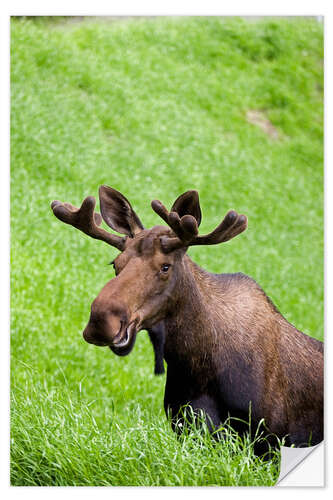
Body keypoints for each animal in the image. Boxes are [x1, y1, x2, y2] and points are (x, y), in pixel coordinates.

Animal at [51, 187, 322, 454]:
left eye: (165, 267)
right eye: (115, 264)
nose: (100, 321)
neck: (196, 364)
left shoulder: (270, 439)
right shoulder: (187, 428)